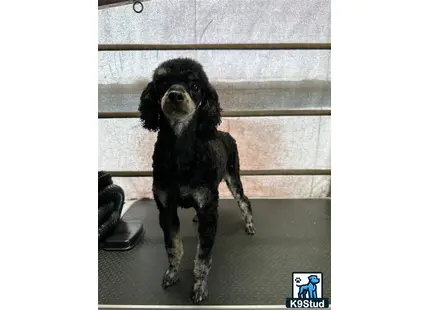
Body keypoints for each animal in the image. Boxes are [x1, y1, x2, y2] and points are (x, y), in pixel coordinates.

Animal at [138, 57, 255, 302]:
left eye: (195, 86)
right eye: (162, 83)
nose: (175, 95)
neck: (181, 152)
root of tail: (224, 133)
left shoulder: (209, 210)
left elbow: (203, 257)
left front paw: (200, 285)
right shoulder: (166, 209)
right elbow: (173, 246)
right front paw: (172, 273)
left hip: (233, 175)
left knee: (244, 200)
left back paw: (249, 223)